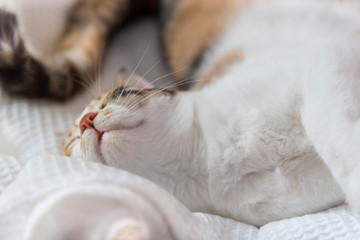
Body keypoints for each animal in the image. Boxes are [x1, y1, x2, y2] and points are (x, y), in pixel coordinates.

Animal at [2, 0, 360, 227]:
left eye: (107, 101)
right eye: (73, 140)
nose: (86, 121)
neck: (209, 162)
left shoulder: (319, 58)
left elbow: (336, 138)